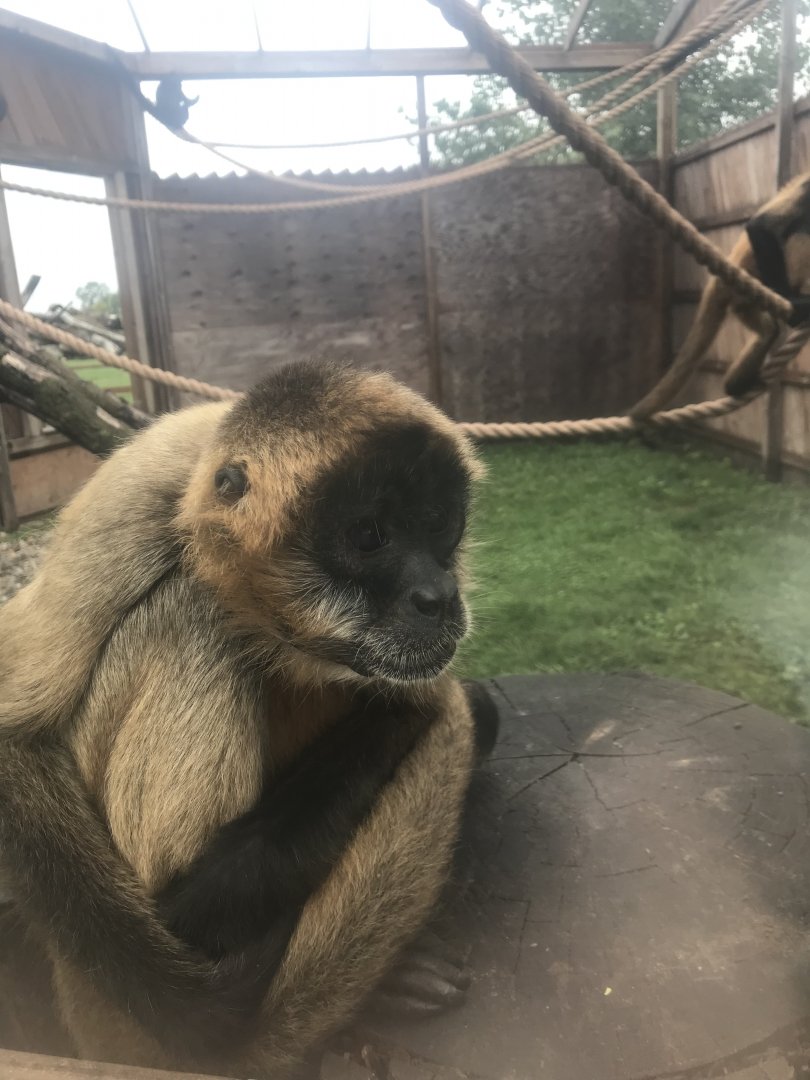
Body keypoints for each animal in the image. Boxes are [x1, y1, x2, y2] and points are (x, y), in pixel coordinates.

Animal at [0, 360, 496, 1078]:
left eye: (439, 525)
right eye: (370, 537)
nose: (438, 594)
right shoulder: (134, 498)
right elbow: (13, 741)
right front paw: (201, 1018)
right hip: (100, 1013)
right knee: (190, 607)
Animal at [629, 171, 810, 421]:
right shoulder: (807, 187)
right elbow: (760, 226)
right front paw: (790, 300)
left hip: (742, 301)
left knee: (767, 331)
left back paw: (735, 386)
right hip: (754, 275)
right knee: (802, 229)